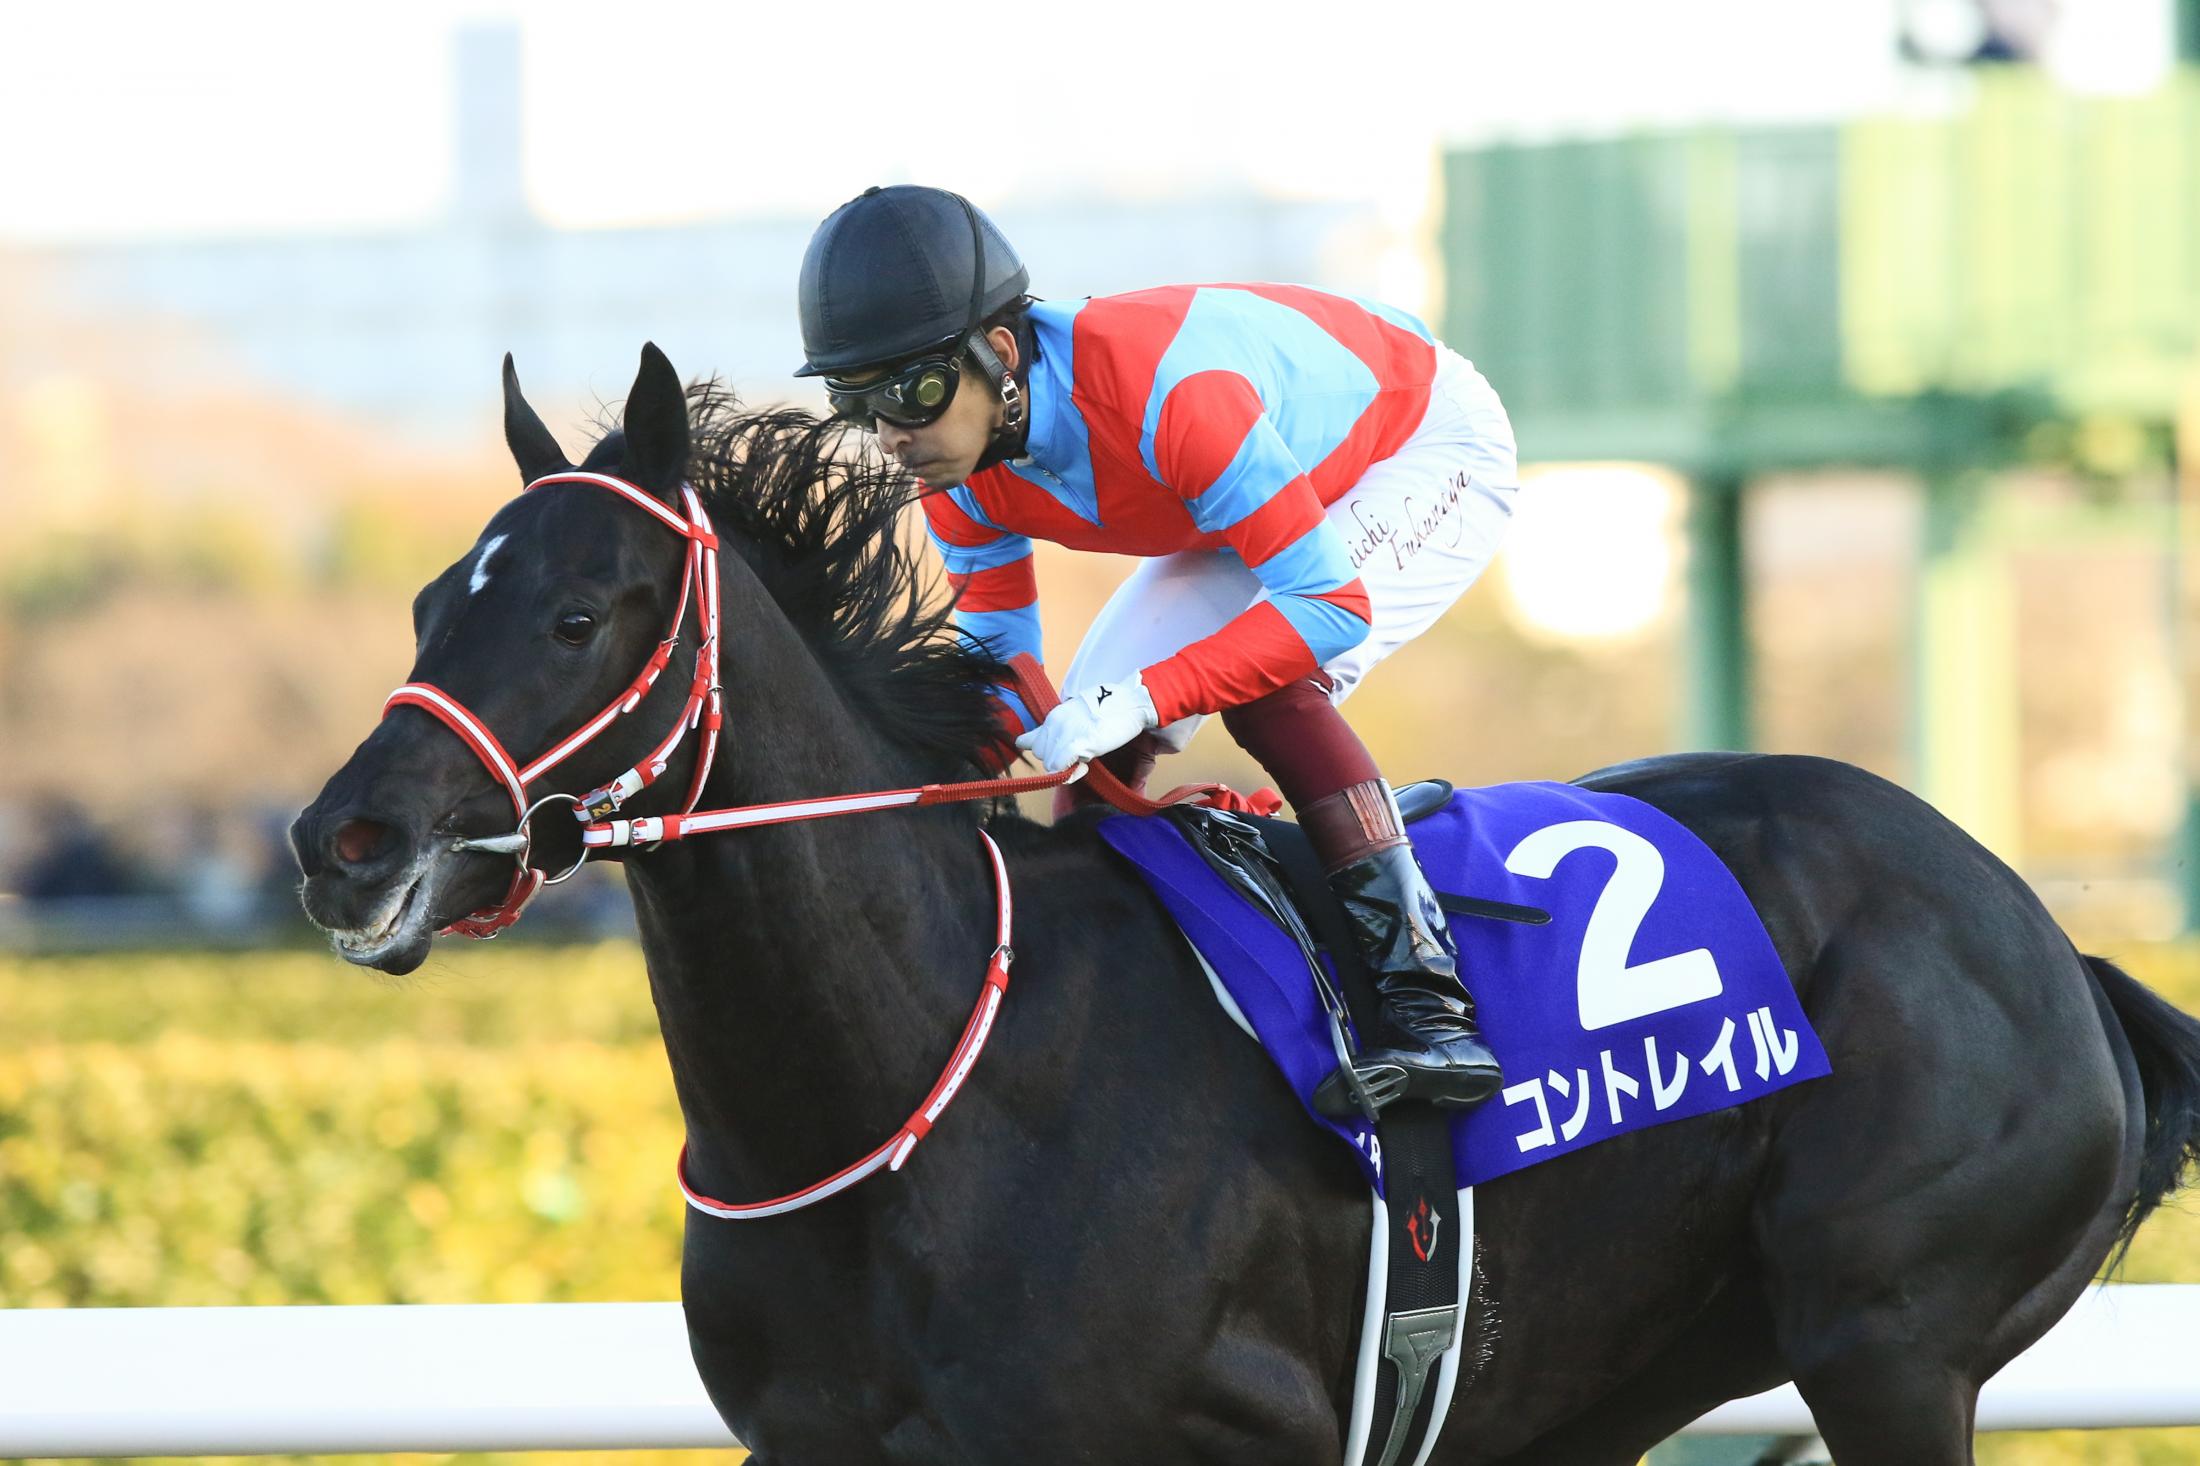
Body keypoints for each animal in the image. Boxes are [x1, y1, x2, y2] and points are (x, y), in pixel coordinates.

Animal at [292, 345, 2200, 1461]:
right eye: (427, 601)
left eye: (578, 612)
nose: (345, 841)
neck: (920, 1075)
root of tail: (2042, 936)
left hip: (1891, 1338)